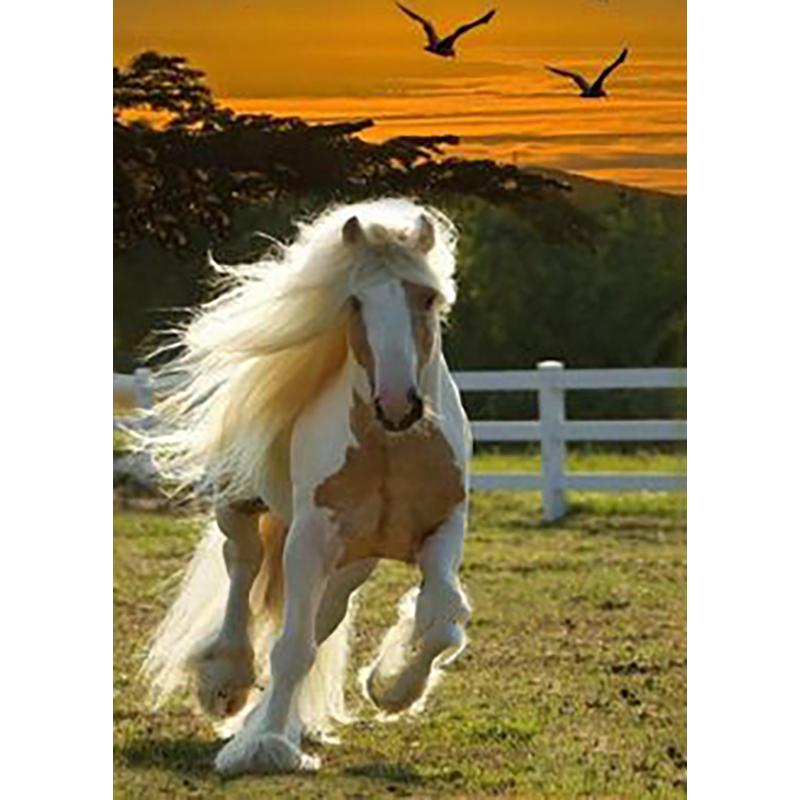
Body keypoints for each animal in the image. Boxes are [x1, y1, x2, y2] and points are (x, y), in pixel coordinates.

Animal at [141, 198, 473, 776]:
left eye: (427, 298)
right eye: (356, 301)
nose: (397, 405)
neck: (391, 448)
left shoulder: (442, 530)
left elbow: (441, 621)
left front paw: (390, 690)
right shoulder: (311, 537)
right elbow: (292, 646)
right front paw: (266, 746)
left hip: (353, 562)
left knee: (325, 614)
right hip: (243, 507)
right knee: (243, 565)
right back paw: (226, 680)